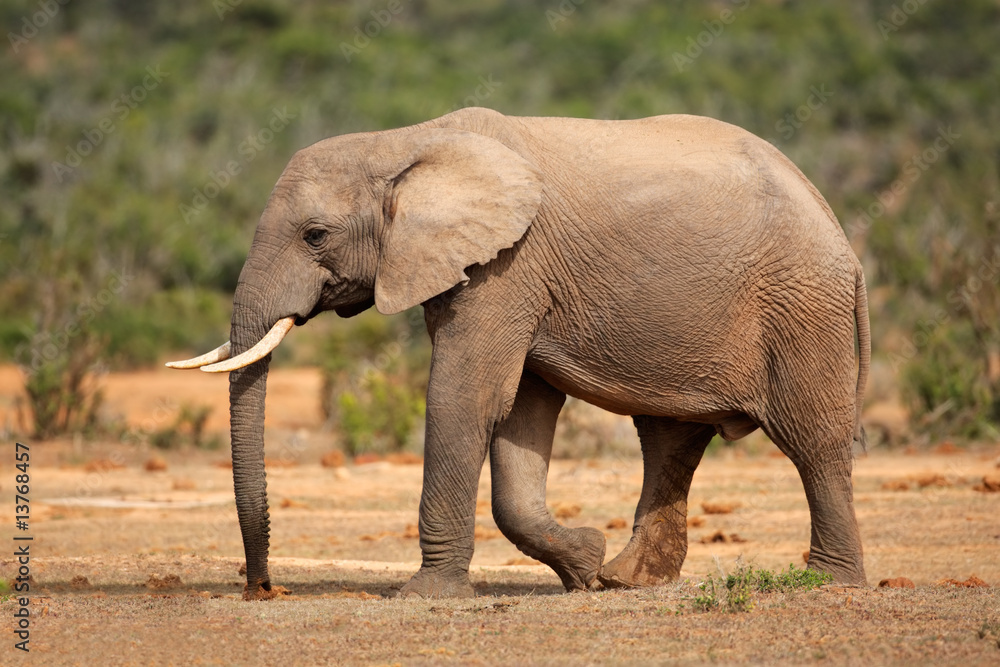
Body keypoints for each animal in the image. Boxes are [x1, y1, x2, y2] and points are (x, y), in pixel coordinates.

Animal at [170, 105, 868, 600]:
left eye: (315, 235)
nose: (262, 588)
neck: (405, 142)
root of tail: (842, 234)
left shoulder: (508, 267)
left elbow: (464, 398)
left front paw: (425, 596)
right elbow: (520, 414)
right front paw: (582, 566)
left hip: (804, 308)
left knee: (814, 441)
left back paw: (828, 582)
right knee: (669, 440)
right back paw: (625, 580)